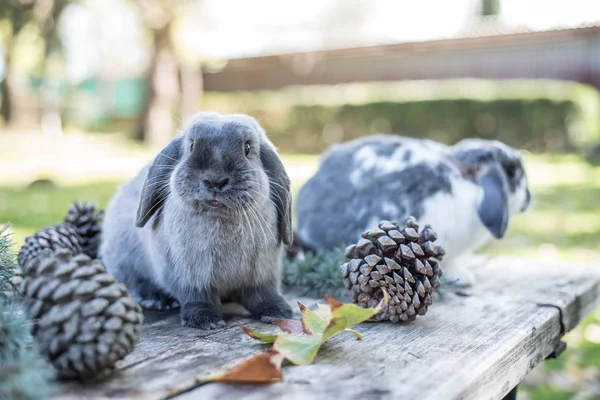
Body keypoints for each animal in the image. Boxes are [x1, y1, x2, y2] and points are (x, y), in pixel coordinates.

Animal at [100, 111, 292, 328]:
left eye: (248, 148)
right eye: (191, 146)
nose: (215, 180)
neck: (218, 216)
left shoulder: (261, 276)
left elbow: (263, 295)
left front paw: (278, 312)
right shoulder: (191, 277)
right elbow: (198, 297)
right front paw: (205, 321)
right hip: (124, 261)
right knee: (136, 284)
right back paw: (158, 300)